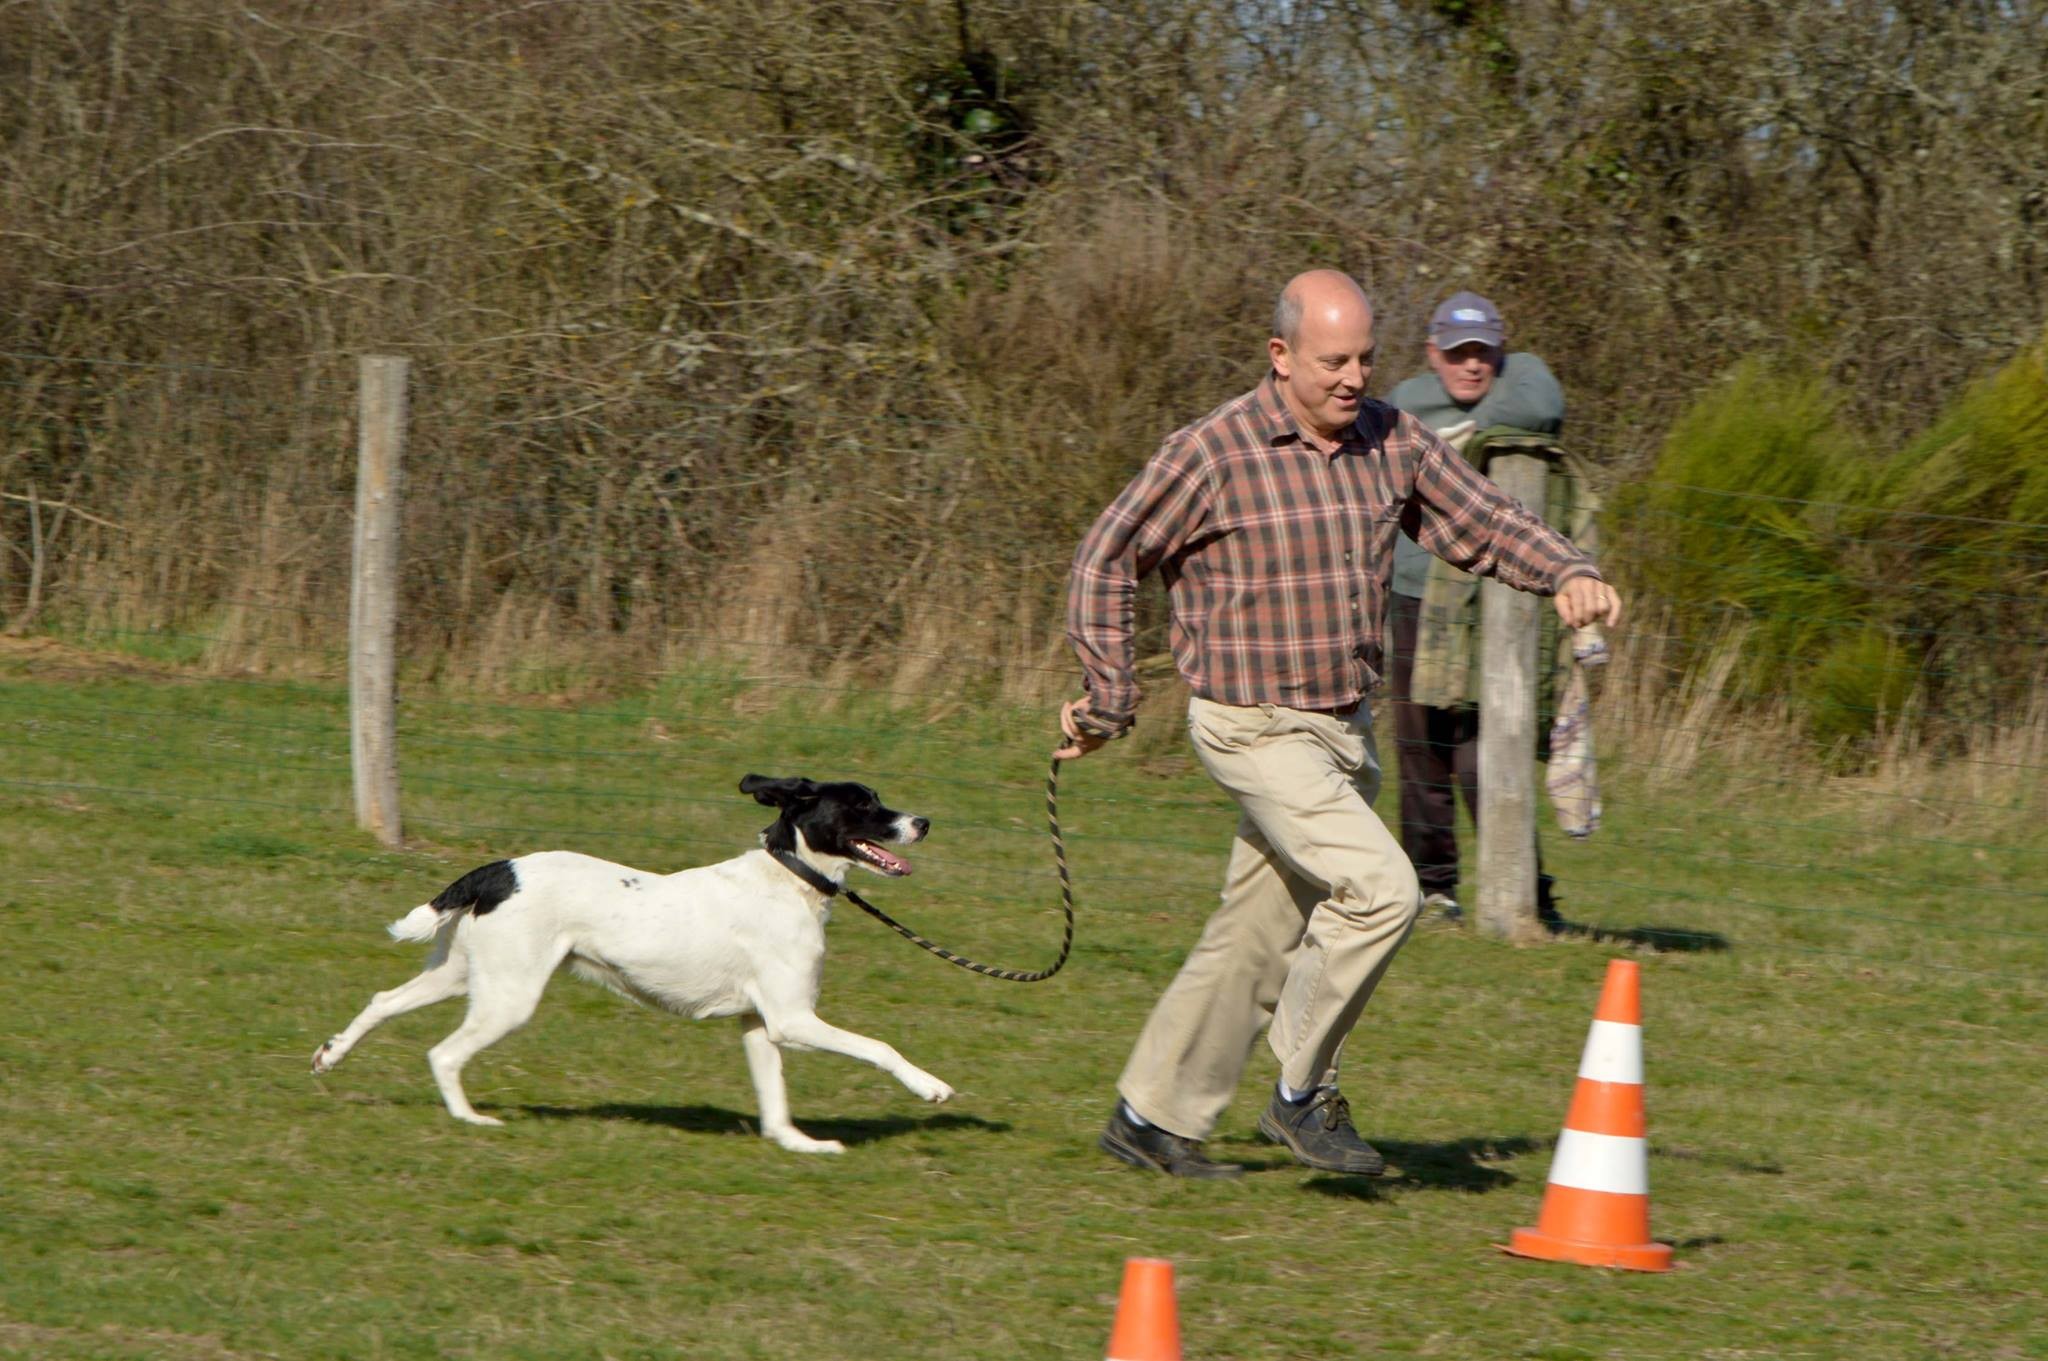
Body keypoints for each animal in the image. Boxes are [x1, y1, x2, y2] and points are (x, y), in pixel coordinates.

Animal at [311, 773, 950, 1146]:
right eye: (864, 805)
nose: (923, 822)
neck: (789, 878)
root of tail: (496, 870)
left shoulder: (760, 1025)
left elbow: (775, 1106)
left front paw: (798, 1144)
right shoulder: (792, 1021)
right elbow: (880, 1047)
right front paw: (929, 1086)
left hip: (461, 973)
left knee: (382, 1002)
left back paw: (330, 1055)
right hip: (509, 996)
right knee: (443, 1053)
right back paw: (471, 1120)